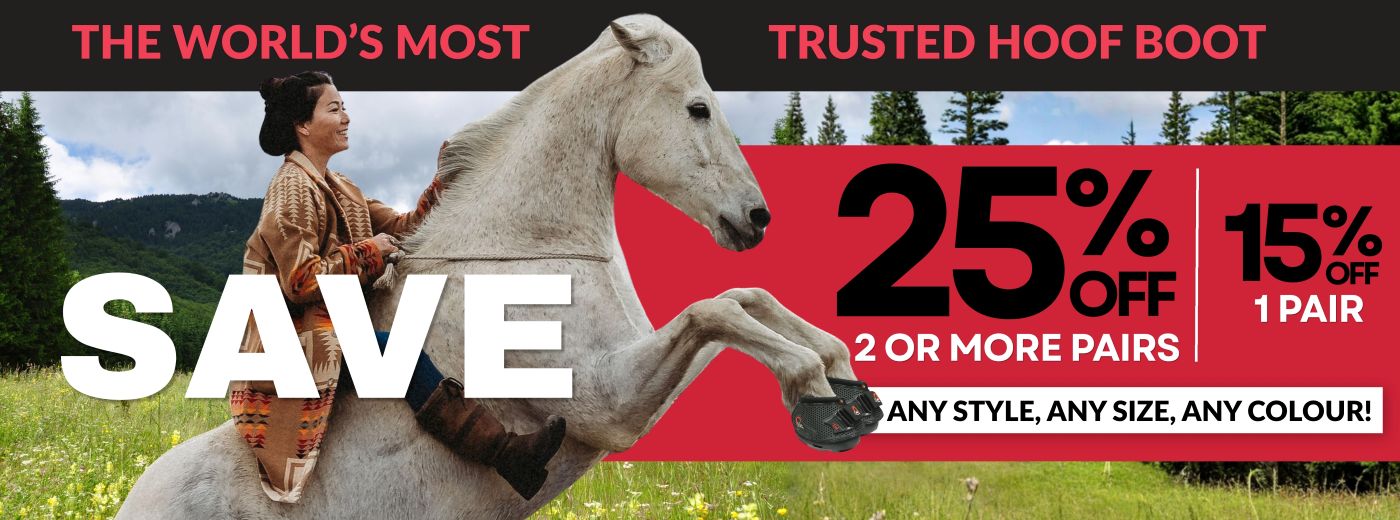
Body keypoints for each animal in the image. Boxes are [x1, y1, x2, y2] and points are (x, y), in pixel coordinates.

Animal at [118, 14, 857, 519]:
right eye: (698, 108)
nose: (756, 218)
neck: (525, 250)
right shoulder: (608, 400)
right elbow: (716, 309)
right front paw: (818, 397)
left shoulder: (629, 384)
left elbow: (744, 298)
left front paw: (846, 382)